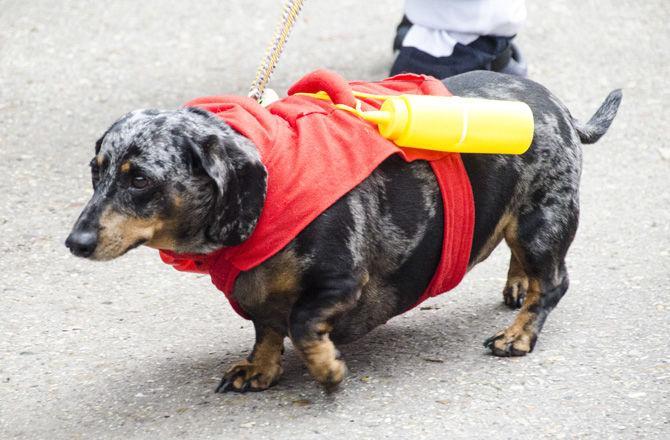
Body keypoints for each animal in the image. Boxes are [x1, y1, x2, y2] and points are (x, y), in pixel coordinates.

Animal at [65, 72, 624, 392]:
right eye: (96, 170)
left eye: (140, 178)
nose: (75, 243)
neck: (272, 182)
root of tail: (558, 106)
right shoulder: (257, 290)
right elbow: (265, 327)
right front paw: (258, 369)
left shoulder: (340, 282)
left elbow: (299, 322)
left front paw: (327, 370)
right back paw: (516, 285)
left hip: (541, 221)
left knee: (553, 283)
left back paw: (518, 335)